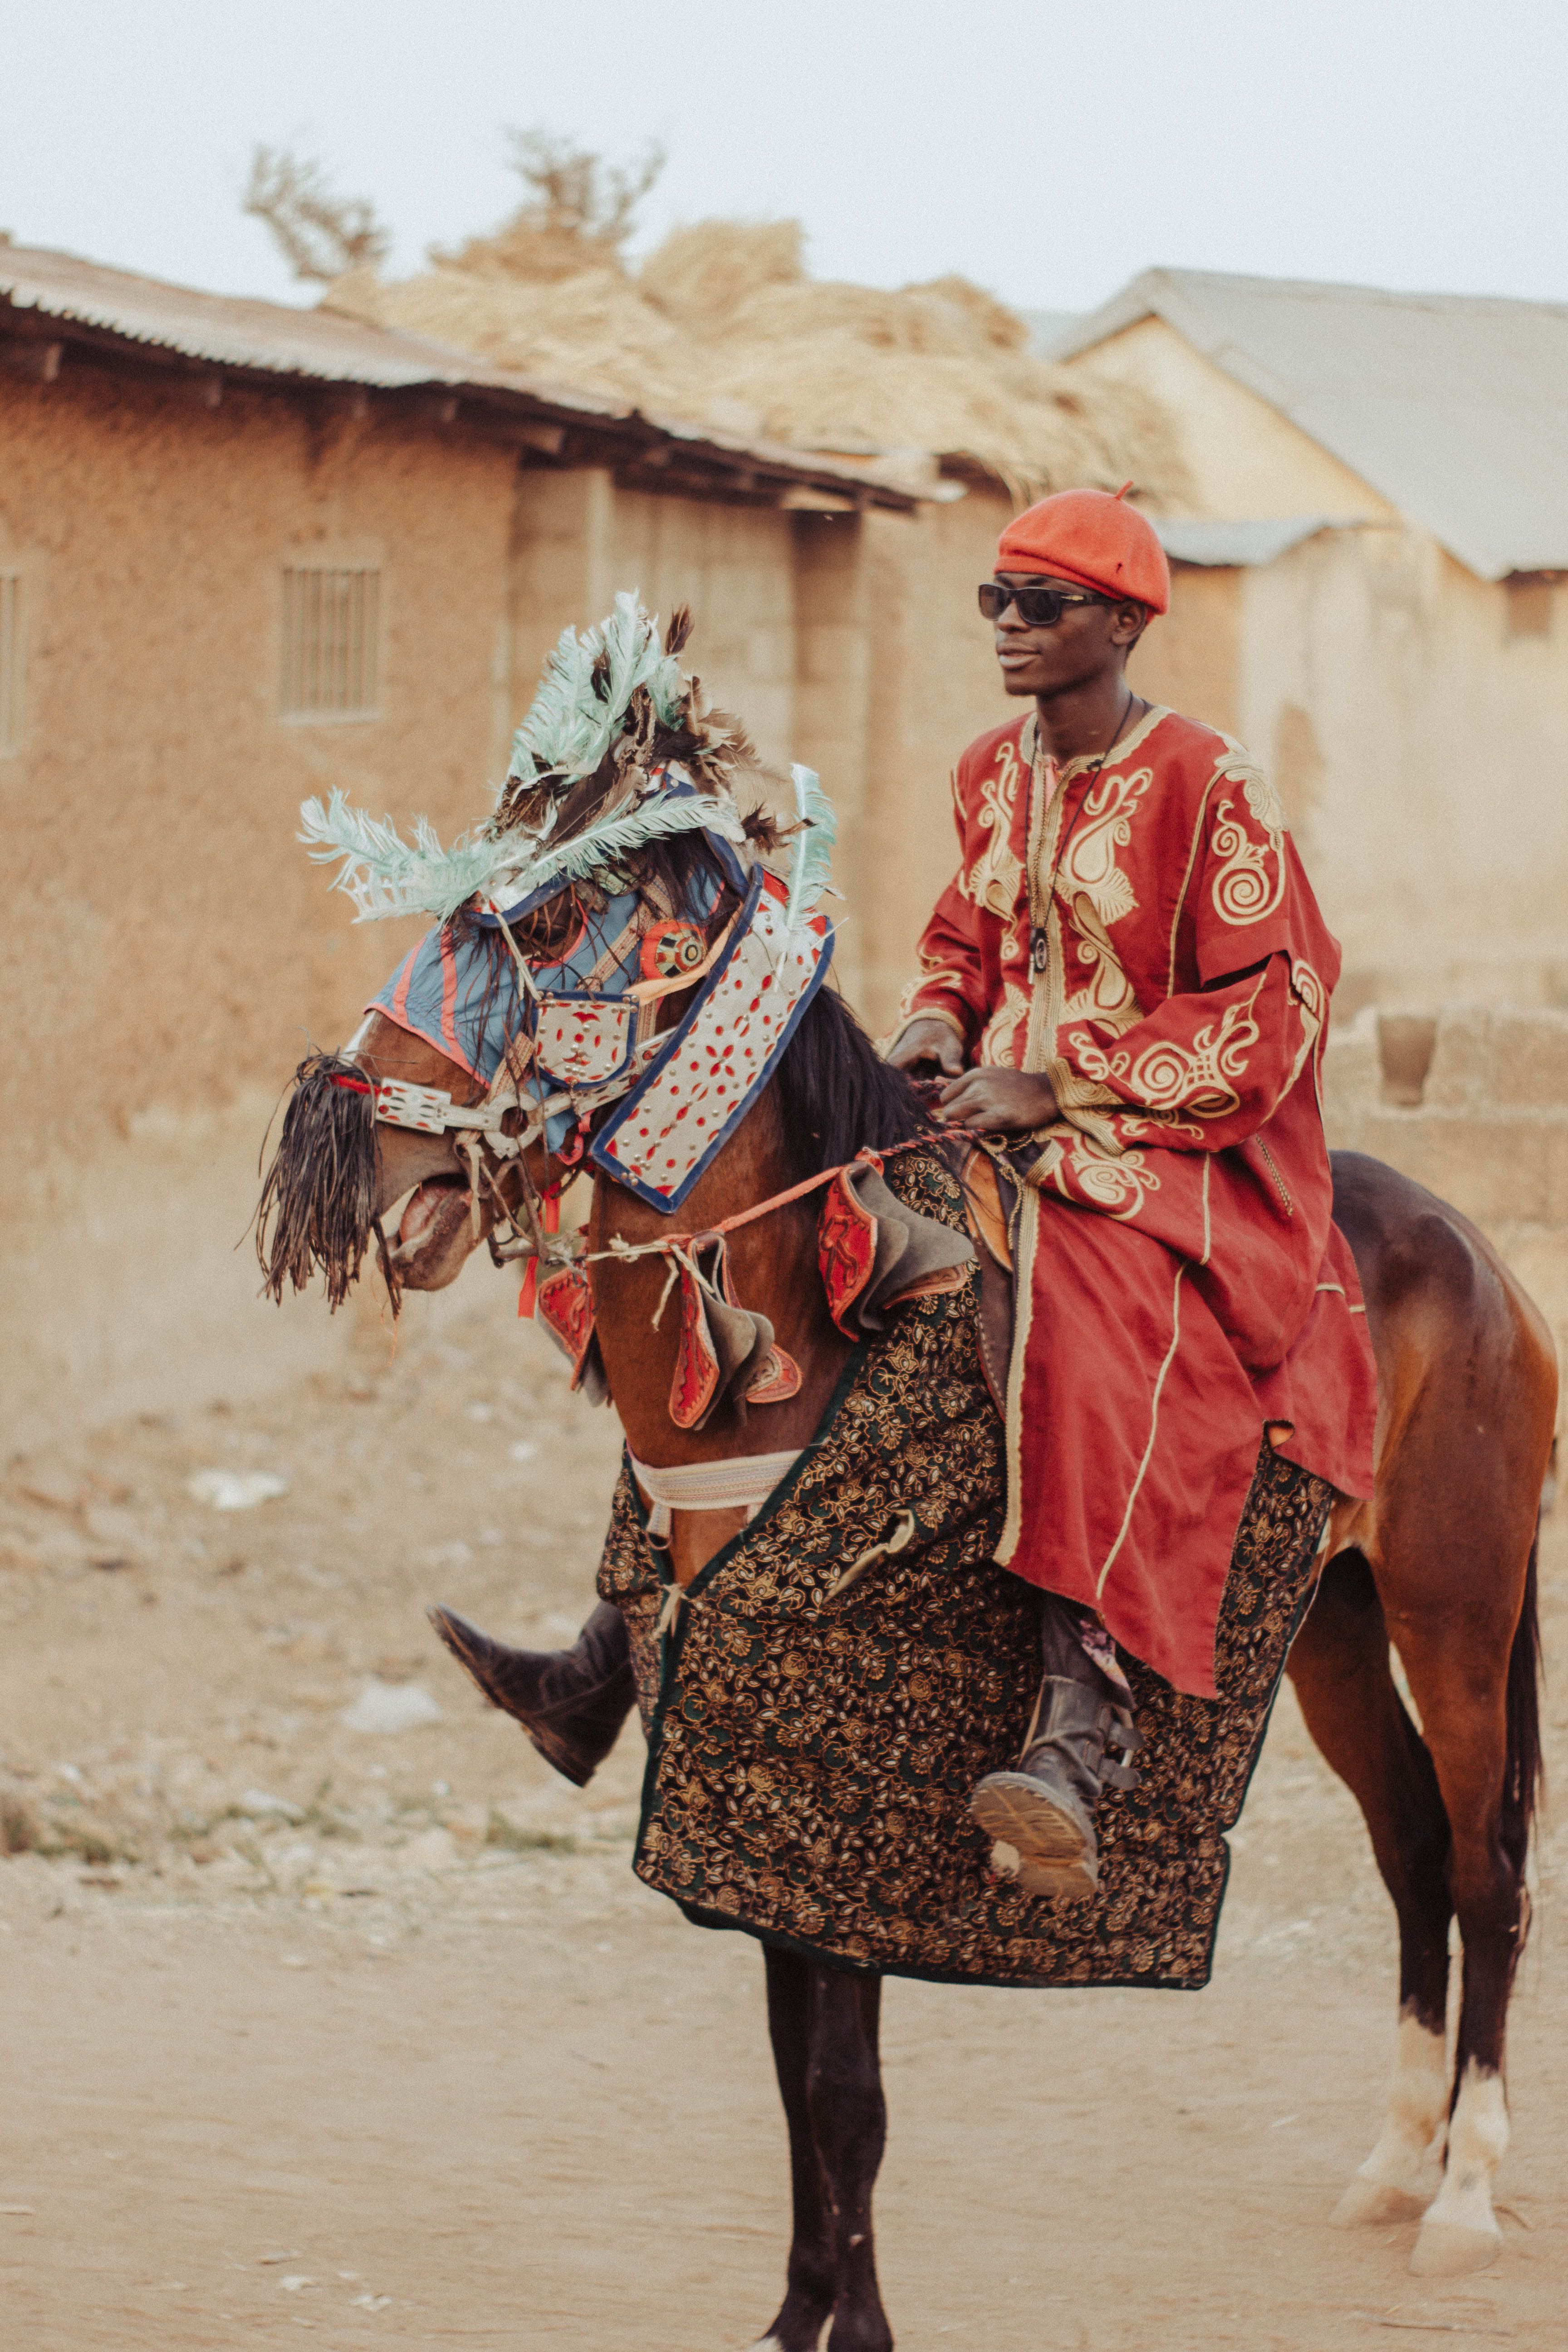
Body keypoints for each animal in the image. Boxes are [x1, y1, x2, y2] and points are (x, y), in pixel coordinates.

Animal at [258, 772, 1551, 2348]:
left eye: (551, 925)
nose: (346, 1135)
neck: (814, 1337)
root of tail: (1480, 1256)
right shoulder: (758, 1800)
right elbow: (798, 2078)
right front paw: (795, 2317)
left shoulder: (854, 1807)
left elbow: (844, 2096)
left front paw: (855, 2330)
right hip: (1334, 1631)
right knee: (1413, 1849)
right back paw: (1394, 2163)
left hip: (1455, 1603)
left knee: (1487, 1868)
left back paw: (1465, 2195)